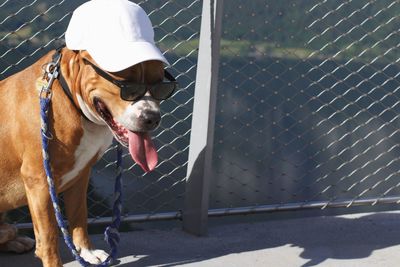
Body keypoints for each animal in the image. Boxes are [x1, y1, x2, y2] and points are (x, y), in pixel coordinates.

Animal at [0, 45, 170, 266]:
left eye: (160, 84)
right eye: (126, 84)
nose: (152, 118)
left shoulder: (81, 174)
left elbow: (79, 214)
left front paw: (87, 251)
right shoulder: (39, 181)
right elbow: (49, 235)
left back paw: (16, 241)